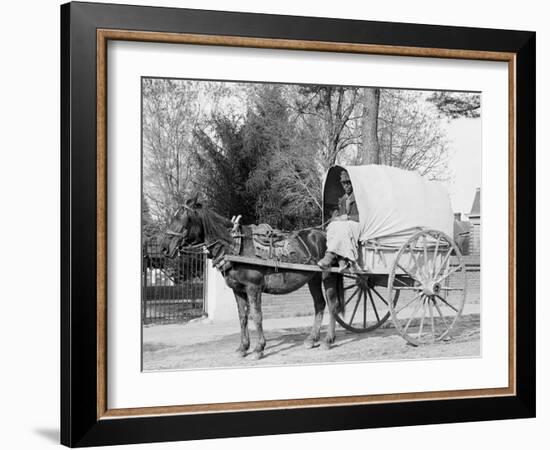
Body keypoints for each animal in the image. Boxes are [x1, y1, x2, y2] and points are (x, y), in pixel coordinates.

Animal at [160, 196, 344, 358]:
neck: (234, 246)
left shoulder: (253, 287)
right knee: (319, 304)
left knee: (332, 304)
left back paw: (328, 340)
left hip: (327, 274)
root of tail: (324, 233)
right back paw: (312, 339)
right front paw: (243, 347)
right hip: (313, 278)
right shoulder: (238, 290)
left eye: (183, 218)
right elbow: (242, 317)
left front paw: (258, 348)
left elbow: (256, 315)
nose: (164, 248)